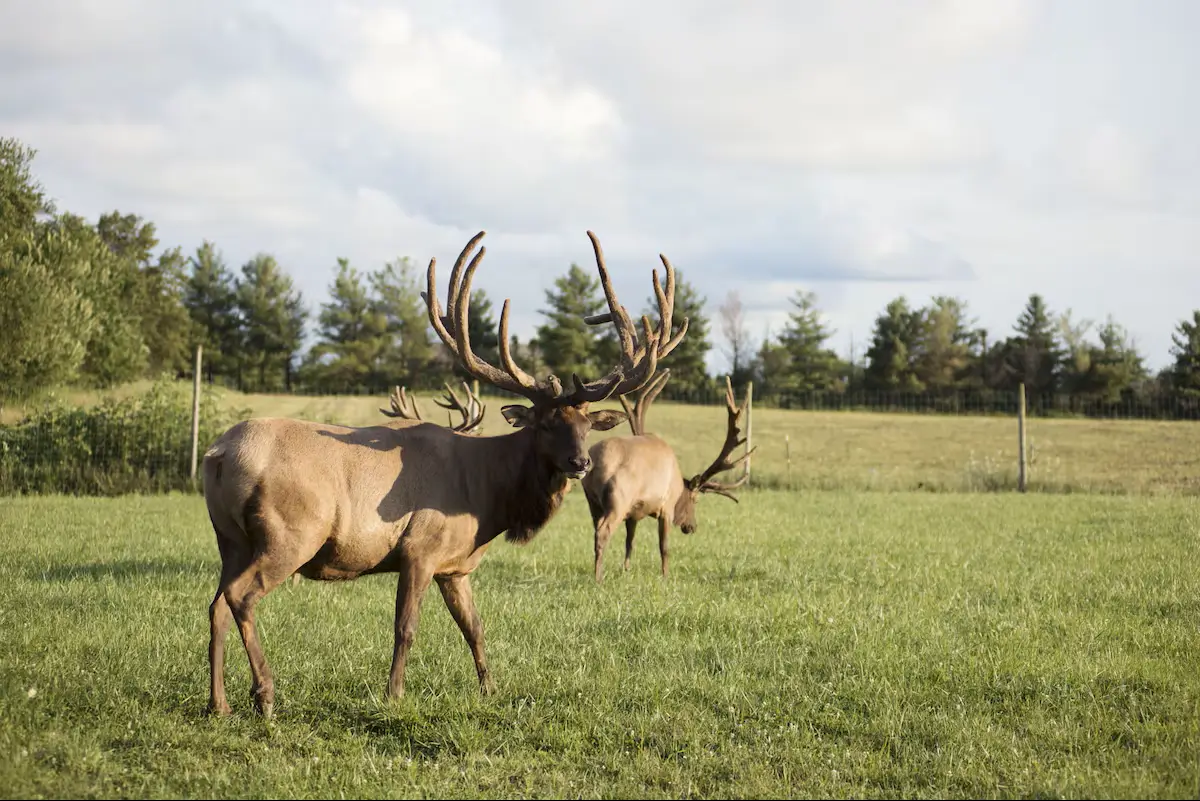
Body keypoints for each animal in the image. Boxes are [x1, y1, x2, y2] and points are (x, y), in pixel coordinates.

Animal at [201, 230, 688, 717]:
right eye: (546, 423)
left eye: (586, 425)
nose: (581, 463)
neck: (486, 500)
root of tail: (218, 453)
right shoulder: (419, 547)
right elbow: (406, 627)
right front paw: (394, 694)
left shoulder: (456, 566)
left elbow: (474, 627)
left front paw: (490, 688)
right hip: (291, 532)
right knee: (241, 597)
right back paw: (265, 695)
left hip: (231, 540)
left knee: (217, 603)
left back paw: (218, 703)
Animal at [582, 374, 754, 582]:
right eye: (695, 500)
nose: (692, 526)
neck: (678, 483)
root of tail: (597, 463)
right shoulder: (666, 507)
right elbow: (664, 547)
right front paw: (665, 576)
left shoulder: (634, 511)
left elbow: (630, 541)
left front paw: (626, 570)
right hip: (619, 499)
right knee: (602, 533)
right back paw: (598, 578)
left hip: (593, 501)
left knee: (596, 530)